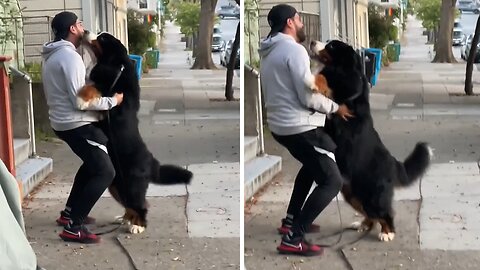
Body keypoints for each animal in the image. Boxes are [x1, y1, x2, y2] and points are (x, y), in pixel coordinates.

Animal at [86, 32, 193, 234]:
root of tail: (152, 163)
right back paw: (126, 219)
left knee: (141, 205)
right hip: (116, 185)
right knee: (131, 205)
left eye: (102, 38)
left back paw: (138, 226)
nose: (86, 31)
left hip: (131, 185)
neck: (119, 72)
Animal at [310, 40, 434, 243]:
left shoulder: (347, 85)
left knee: (385, 213)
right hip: (353, 193)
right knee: (371, 214)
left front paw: (312, 80)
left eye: (331, 46)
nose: (312, 42)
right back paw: (362, 225)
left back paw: (387, 232)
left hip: (373, 194)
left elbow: (326, 78)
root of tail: (393, 163)